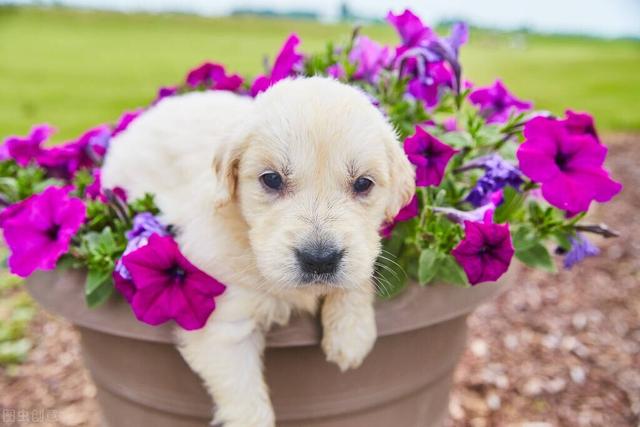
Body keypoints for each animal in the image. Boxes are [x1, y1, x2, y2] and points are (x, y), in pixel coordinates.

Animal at [101, 77, 416, 427]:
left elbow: (359, 270)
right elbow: (247, 404)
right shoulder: (222, 322)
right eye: (272, 179)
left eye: (363, 183)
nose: (319, 260)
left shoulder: (362, 248)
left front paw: (351, 335)